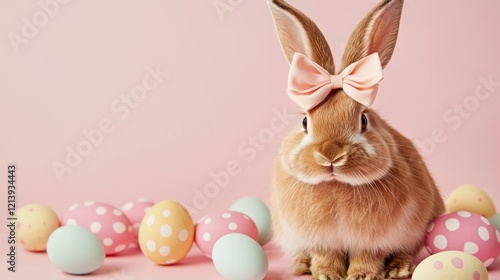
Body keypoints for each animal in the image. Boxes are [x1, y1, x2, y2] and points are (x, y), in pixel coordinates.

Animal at [268, 0, 444, 280]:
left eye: (363, 120)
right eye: (305, 122)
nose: (330, 155)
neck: (337, 186)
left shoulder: (373, 242)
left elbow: (367, 257)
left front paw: (362, 275)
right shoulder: (321, 241)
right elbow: (325, 255)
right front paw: (326, 274)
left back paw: (398, 268)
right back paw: (302, 265)